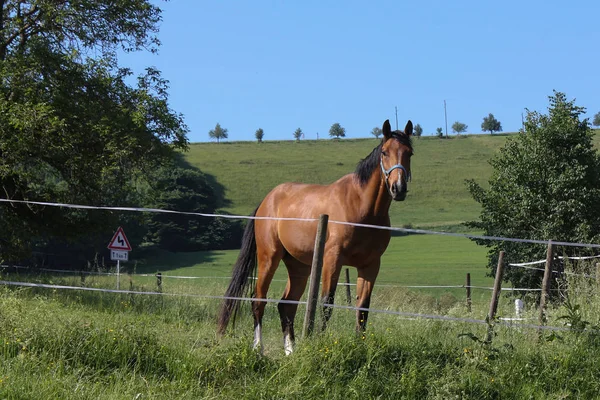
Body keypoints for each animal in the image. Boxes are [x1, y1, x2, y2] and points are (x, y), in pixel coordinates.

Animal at [219, 118, 412, 354]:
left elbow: (363, 309)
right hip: (269, 258)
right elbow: (326, 303)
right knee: (258, 301)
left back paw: (290, 351)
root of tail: (267, 200)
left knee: (286, 305)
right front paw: (320, 343)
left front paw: (360, 346)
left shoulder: (370, 265)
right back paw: (258, 349)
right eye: (385, 152)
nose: (398, 188)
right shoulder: (333, 259)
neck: (361, 208)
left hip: (299, 267)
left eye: (409, 152)